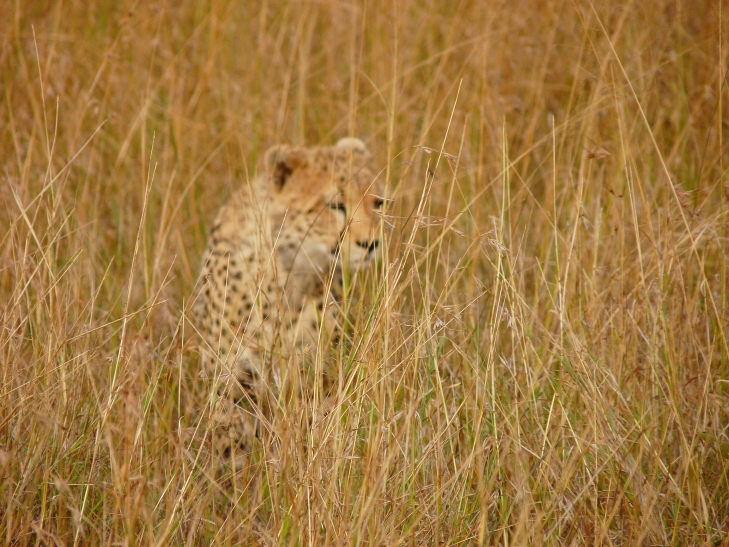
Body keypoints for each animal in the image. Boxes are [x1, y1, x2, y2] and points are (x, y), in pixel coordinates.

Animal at [192, 137, 384, 464]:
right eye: (335, 205)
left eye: (378, 203)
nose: (371, 244)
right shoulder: (231, 378)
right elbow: (229, 438)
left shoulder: (313, 376)